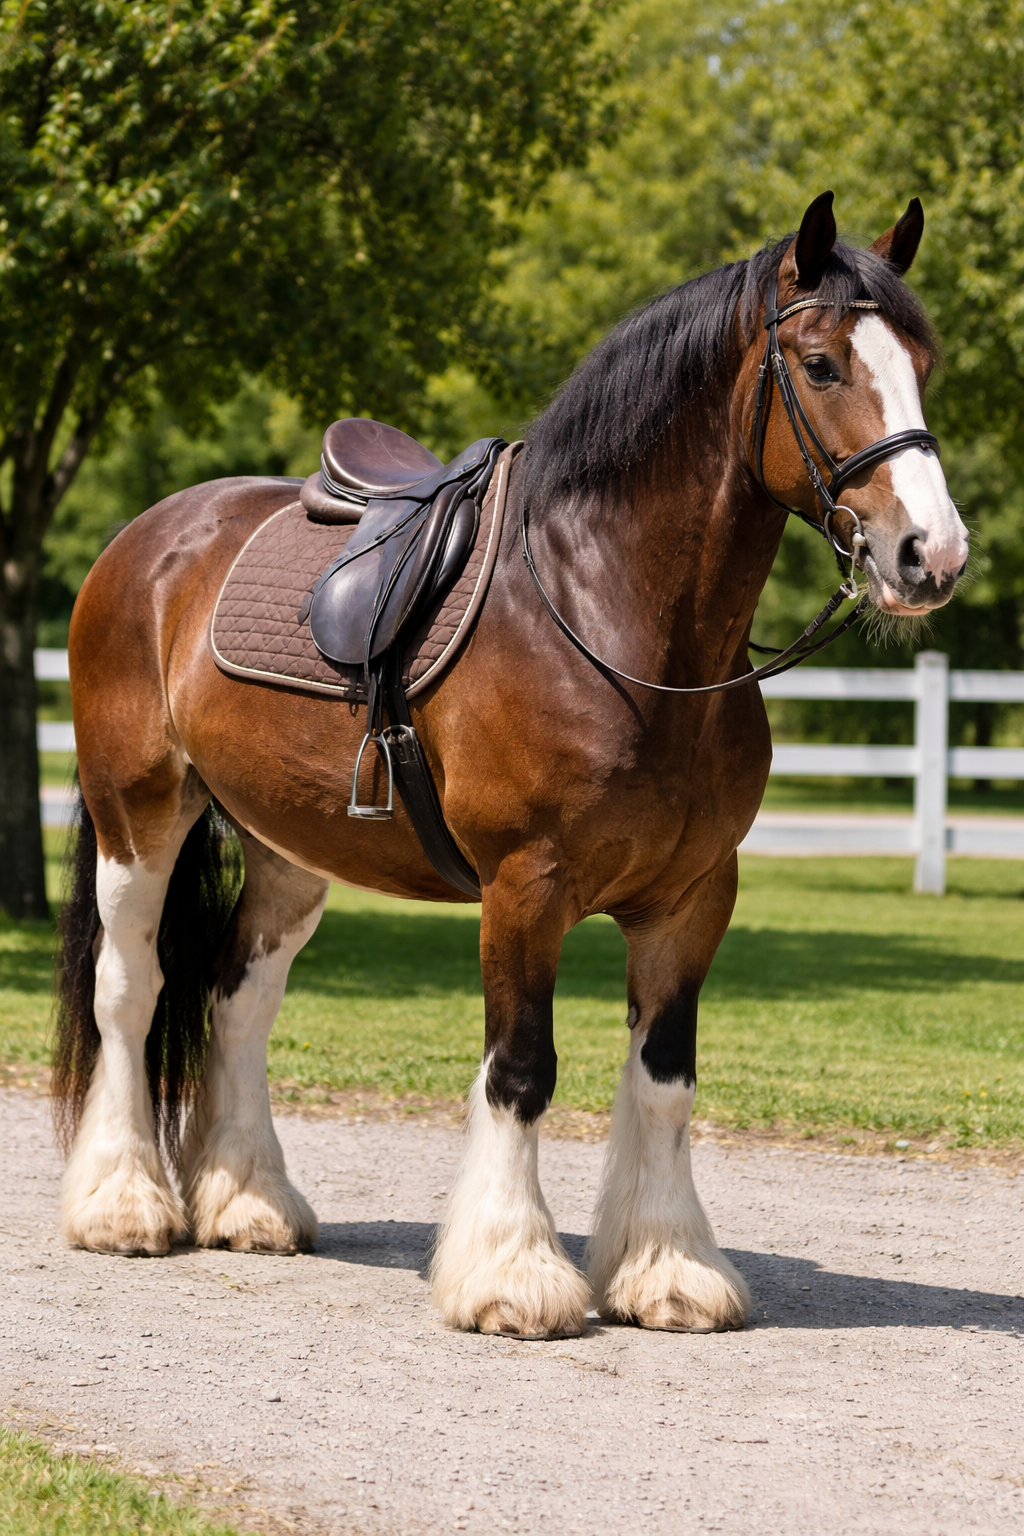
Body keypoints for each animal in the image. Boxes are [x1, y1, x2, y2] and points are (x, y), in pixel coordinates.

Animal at [52, 193, 968, 1338]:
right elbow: (521, 1070)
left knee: (236, 996)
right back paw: (121, 1205)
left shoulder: (692, 897)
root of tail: (151, 538)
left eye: (923, 363)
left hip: (288, 849)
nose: (931, 555)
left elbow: (664, 1076)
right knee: (131, 989)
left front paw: (666, 1269)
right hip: (138, 816)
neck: (603, 613)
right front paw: (513, 1277)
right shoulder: (525, 889)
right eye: (819, 363)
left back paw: (250, 1202)